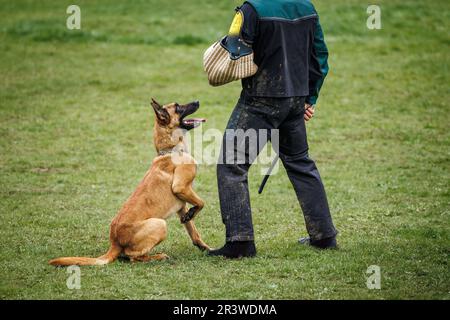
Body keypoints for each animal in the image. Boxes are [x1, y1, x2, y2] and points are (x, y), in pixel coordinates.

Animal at [48, 99, 210, 266]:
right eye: (178, 107)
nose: (197, 101)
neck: (171, 150)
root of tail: (114, 243)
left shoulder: (181, 205)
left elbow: (193, 231)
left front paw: (205, 246)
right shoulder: (181, 188)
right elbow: (201, 203)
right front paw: (194, 212)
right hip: (159, 224)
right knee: (133, 256)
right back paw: (157, 256)